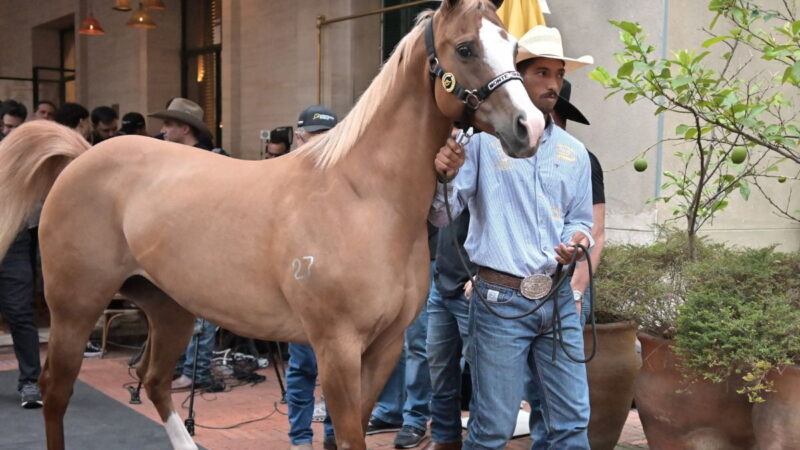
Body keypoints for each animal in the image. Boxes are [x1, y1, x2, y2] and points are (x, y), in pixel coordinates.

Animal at [0, 1, 544, 448]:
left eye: (513, 48)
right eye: (466, 48)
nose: (531, 126)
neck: (362, 196)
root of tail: (81, 157)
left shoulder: (384, 348)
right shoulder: (337, 348)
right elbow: (348, 436)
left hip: (169, 306)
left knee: (153, 381)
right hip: (75, 307)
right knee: (56, 391)